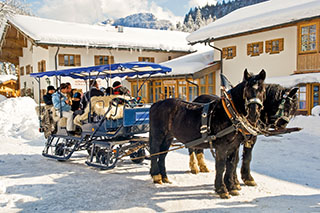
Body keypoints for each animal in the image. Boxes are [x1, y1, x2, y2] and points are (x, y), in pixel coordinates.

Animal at [150, 69, 268, 199]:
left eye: (262, 90)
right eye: (246, 90)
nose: (253, 113)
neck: (229, 113)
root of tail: (156, 104)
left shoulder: (234, 146)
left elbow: (231, 164)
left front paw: (232, 186)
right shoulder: (221, 147)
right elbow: (221, 166)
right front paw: (221, 189)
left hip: (168, 137)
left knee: (162, 155)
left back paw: (164, 177)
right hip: (158, 135)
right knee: (155, 153)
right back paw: (156, 176)